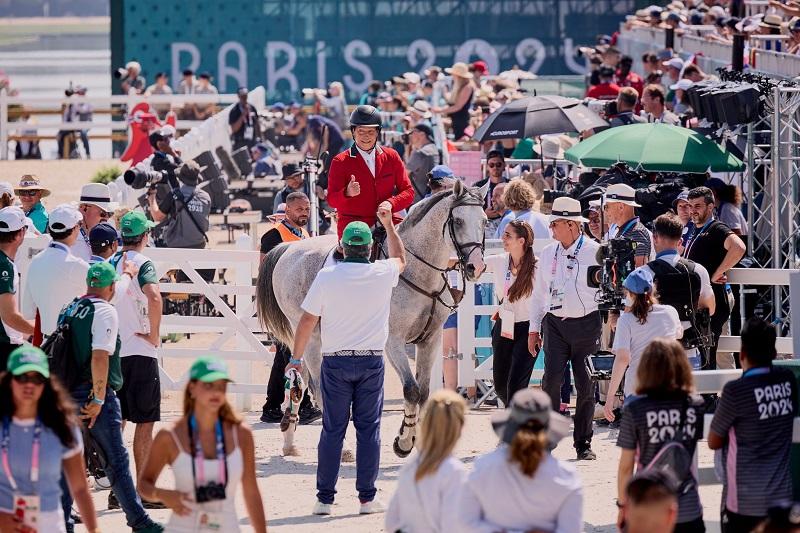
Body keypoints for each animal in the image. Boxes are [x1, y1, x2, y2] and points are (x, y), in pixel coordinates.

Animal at [260, 181, 490, 456]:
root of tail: (290, 249)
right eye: (457, 221)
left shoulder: (430, 340)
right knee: (316, 384)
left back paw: (289, 441)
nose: (476, 267)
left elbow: (423, 392)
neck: (416, 272)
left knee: (299, 378)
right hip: (310, 335)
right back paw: (343, 448)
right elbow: (411, 390)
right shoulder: (393, 342)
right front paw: (404, 441)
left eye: (485, 221)